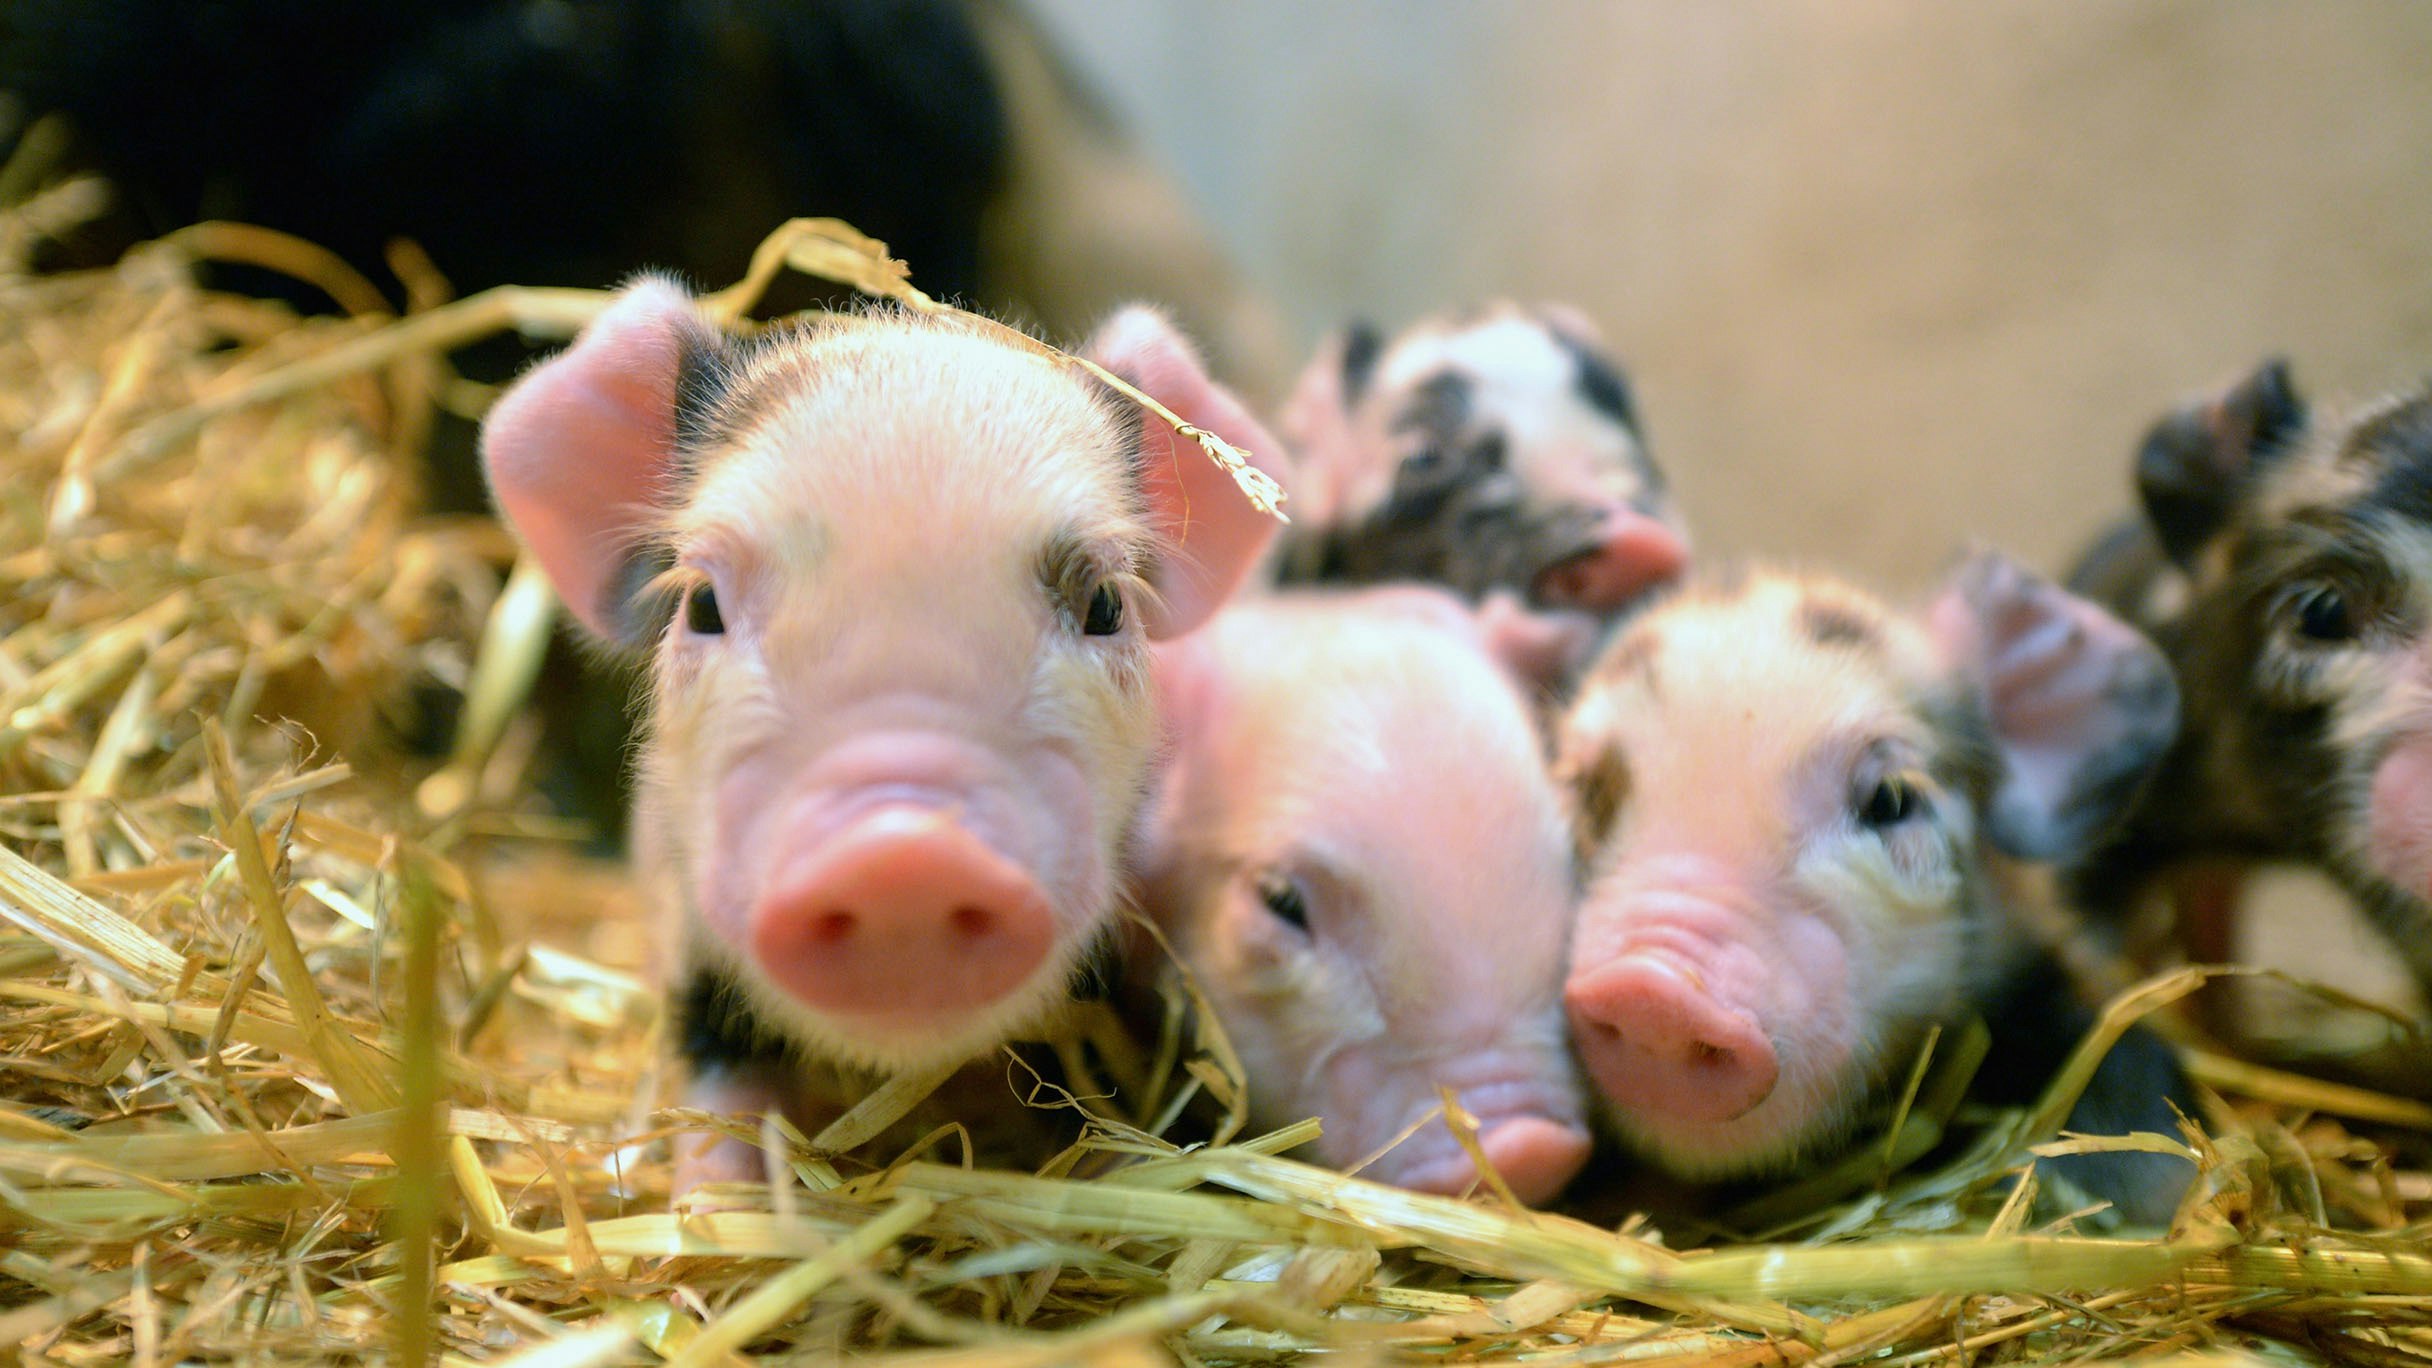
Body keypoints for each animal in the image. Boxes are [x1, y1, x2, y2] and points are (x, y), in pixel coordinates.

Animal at [478, 279, 1282, 1184]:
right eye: (704, 605)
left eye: (1106, 605)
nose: (904, 853)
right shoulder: (691, 953)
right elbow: (721, 1103)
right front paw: (713, 1200)